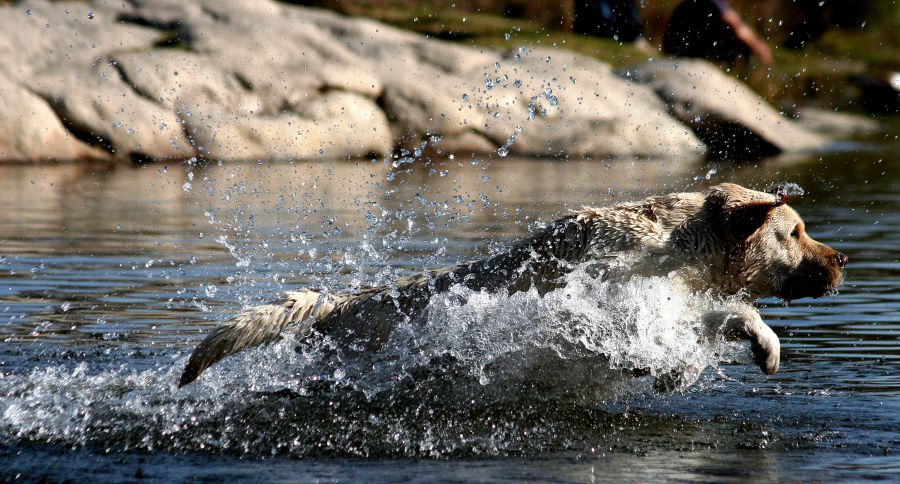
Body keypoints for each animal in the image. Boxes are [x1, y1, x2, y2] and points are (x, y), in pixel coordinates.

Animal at [179, 183, 848, 392]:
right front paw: (668, 368)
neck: (678, 248)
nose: (842, 259)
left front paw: (762, 345)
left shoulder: (676, 300)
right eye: (795, 231)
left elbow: (729, 314)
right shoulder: (607, 301)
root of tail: (341, 302)